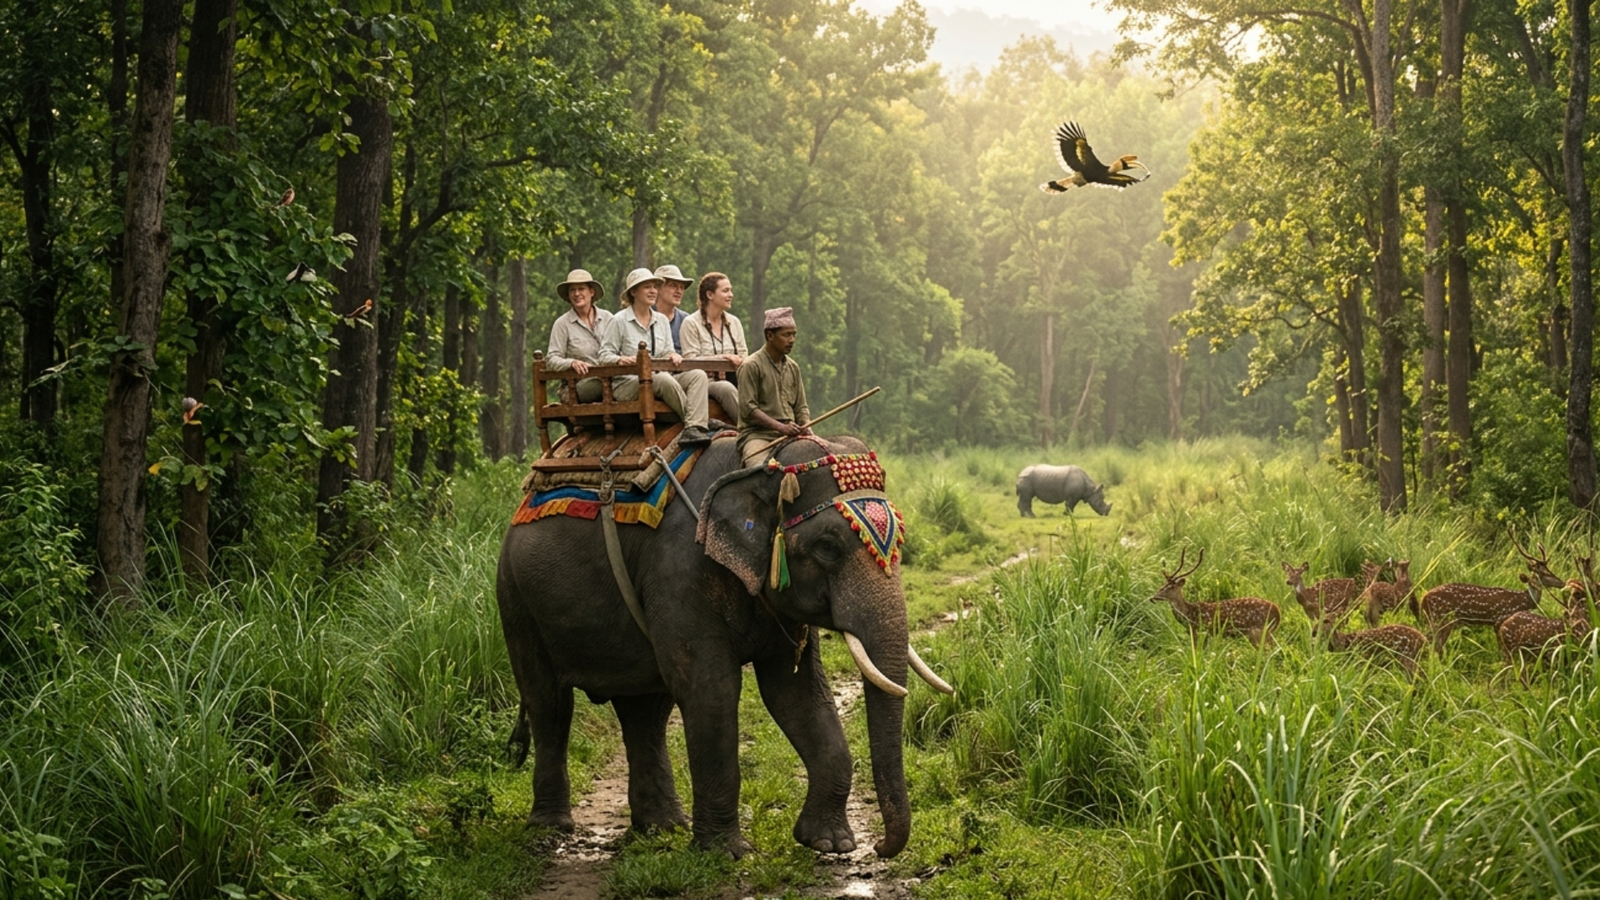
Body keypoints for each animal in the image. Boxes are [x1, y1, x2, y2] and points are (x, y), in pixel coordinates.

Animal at [496, 435, 951, 859]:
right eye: (826, 547)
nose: (880, 848)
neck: (761, 465)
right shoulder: (678, 572)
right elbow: (711, 691)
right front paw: (726, 853)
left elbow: (797, 693)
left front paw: (828, 843)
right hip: (516, 599)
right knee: (549, 703)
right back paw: (552, 828)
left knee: (646, 710)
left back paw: (663, 827)